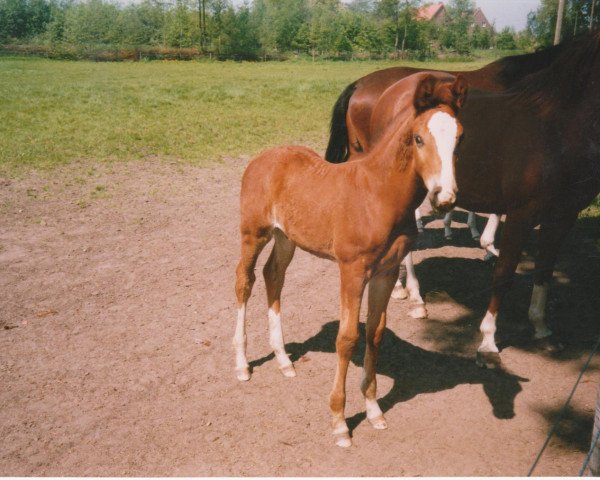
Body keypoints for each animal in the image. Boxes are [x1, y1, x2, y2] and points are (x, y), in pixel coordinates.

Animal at [232, 73, 466, 448]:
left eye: (459, 138)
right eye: (418, 138)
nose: (444, 197)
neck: (378, 195)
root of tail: (264, 157)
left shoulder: (386, 271)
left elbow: (374, 333)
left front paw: (373, 409)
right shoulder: (353, 271)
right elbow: (347, 339)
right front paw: (340, 421)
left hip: (286, 237)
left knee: (273, 276)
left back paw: (283, 359)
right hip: (254, 233)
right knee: (245, 280)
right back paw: (242, 364)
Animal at [326, 31, 600, 366]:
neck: (556, 125)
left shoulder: (563, 215)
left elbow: (545, 270)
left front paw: (540, 328)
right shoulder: (522, 213)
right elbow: (504, 274)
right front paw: (488, 339)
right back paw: (415, 296)